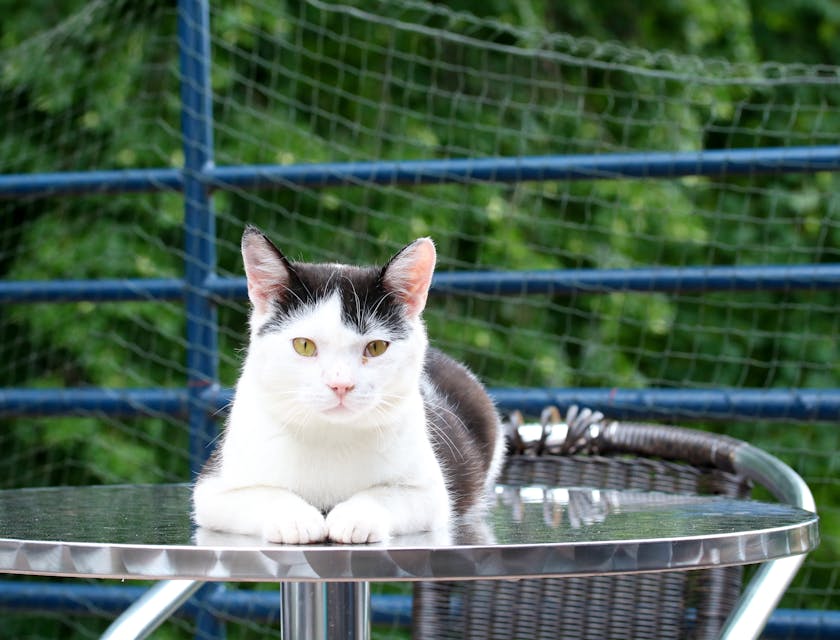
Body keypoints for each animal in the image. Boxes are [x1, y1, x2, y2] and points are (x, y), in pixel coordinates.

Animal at [192, 228, 506, 544]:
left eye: (376, 347)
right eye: (304, 345)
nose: (340, 384)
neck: (331, 436)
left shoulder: (431, 493)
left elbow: (386, 494)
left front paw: (356, 516)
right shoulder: (212, 489)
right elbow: (262, 494)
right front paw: (295, 518)